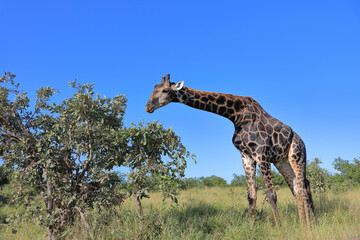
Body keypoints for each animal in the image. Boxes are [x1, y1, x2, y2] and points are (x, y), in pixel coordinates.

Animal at [145, 73, 314, 227]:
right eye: (154, 88)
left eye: (165, 90)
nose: (148, 107)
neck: (235, 115)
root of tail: (301, 141)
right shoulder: (246, 155)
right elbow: (251, 196)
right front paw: (251, 228)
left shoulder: (261, 154)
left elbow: (271, 194)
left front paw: (278, 229)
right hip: (282, 162)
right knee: (297, 187)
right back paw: (302, 224)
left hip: (297, 156)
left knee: (304, 187)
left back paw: (309, 226)